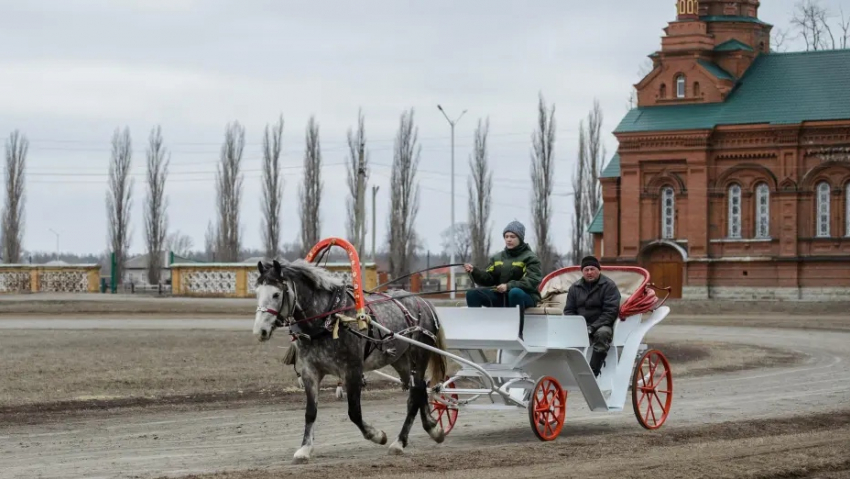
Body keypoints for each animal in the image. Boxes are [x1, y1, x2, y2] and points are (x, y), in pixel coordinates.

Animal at [252, 258, 450, 464]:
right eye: (257, 292)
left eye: (276, 294)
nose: (260, 331)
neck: (328, 319)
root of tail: (424, 302)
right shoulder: (310, 371)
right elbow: (310, 411)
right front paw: (305, 448)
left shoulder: (352, 370)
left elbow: (354, 412)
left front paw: (377, 435)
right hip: (400, 360)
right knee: (419, 390)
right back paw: (433, 428)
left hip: (420, 354)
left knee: (415, 394)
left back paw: (400, 442)